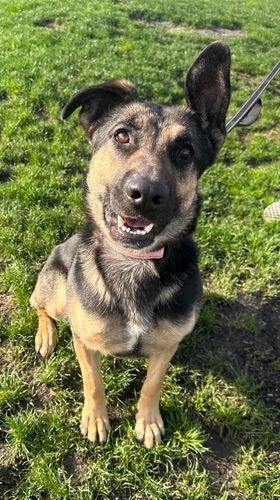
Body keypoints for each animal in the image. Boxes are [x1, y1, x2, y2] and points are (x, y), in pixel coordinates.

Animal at [30, 42, 232, 450]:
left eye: (185, 152)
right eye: (122, 136)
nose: (145, 195)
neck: (135, 264)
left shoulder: (167, 347)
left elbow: (152, 384)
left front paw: (148, 421)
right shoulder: (83, 339)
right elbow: (93, 382)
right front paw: (96, 419)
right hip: (56, 290)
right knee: (39, 305)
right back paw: (46, 334)